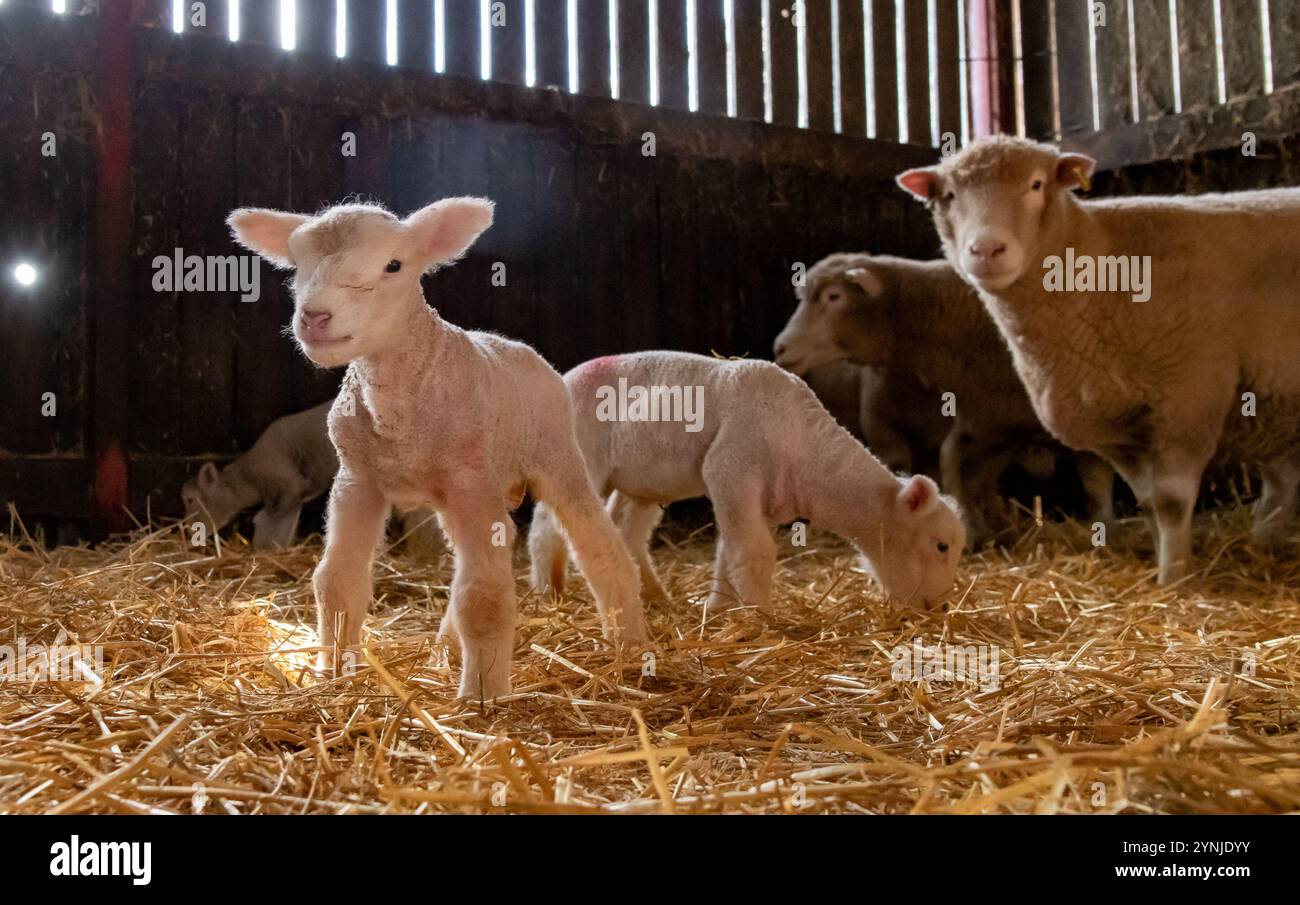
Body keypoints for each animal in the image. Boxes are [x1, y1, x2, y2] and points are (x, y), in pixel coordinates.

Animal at [178, 400, 444, 553]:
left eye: (190, 499)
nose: (188, 530)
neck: (248, 479)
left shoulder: (285, 488)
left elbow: (270, 522)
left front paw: (267, 551)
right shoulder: (294, 494)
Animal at [231, 196, 647, 702]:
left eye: (393, 265)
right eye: (297, 264)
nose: (314, 318)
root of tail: (513, 344)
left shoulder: (470, 483)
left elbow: (483, 598)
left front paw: (483, 699)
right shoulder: (357, 481)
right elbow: (336, 581)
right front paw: (334, 675)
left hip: (556, 455)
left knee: (598, 545)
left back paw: (630, 644)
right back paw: (446, 649)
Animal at [527, 351, 967, 611]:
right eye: (941, 546)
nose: (942, 609)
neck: (807, 450)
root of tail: (564, 377)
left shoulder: (758, 497)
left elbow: (731, 550)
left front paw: (721, 608)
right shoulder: (730, 469)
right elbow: (754, 553)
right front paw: (762, 615)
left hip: (639, 482)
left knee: (627, 533)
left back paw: (655, 596)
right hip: (582, 458)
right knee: (548, 528)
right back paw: (550, 590)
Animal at [899, 137, 1300, 582]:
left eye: (1036, 184)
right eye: (950, 195)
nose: (986, 250)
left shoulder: (1187, 401)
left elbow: (1170, 503)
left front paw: (1174, 579)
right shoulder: (1119, 424)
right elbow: (1147, 502)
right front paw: (1163, 566)